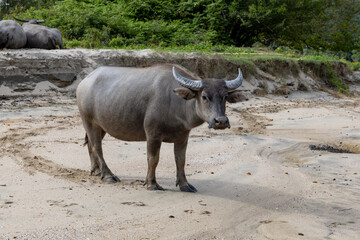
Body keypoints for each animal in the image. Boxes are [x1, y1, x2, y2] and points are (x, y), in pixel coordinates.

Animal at [76, 64, 245, 192]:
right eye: (204, 97)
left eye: (225, 97)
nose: (220, 121)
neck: (176, 103)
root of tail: (85, 81)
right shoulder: (153, 135)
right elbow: (153, 159)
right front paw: (151, 184)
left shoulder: (183, 137)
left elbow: (181, 160)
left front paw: (184, 185)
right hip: (88, 121)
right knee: (97, 147)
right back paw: (108, 175)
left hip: (101, 126)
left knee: (90, 145)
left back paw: (96, 171)